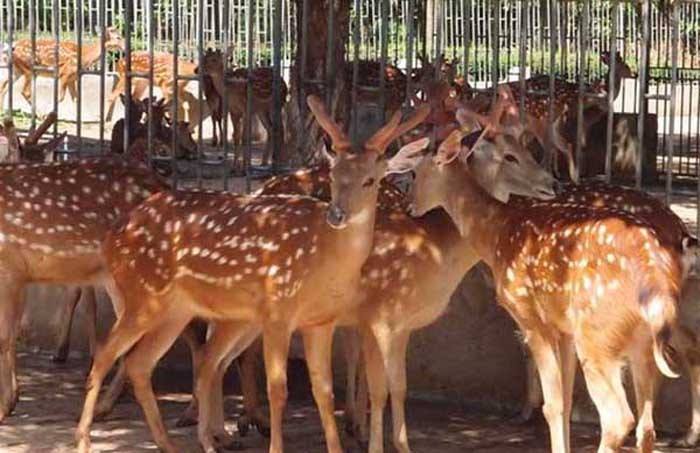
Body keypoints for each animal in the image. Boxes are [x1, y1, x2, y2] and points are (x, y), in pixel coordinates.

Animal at [74, 95, 430, 452]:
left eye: (370, 180)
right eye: (332, 175)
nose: (337, 214)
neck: (322, 259)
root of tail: (113, 238)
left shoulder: (320, 322)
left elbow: (324, 392)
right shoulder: (277, 309)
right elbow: (278, 389)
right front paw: (274, 445)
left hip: (175, 310)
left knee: (141, 363)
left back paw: (169, 443)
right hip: (143, 295)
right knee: (105, 354)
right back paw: (84, 440)